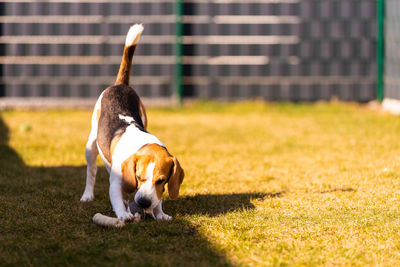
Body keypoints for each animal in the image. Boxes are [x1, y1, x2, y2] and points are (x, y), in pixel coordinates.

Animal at [80, 24, 186, 222]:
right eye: (139, 177)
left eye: (161, 180)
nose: (144, 202)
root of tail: (121, 84)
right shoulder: (115, 182)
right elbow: (116, 197)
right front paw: (124, 214)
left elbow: (158, 199)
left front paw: (160, 213)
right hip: (91, 144)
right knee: (91, 171)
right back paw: (87, 195)